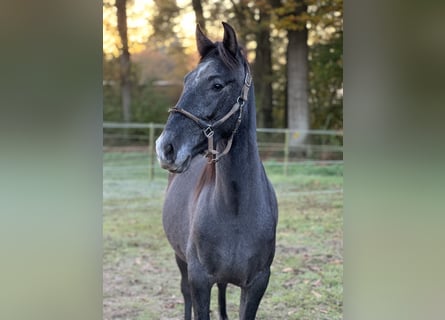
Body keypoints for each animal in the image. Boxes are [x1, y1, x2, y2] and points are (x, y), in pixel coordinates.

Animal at [154, 22, 276, 320]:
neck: (236, 210)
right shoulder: (199, 280)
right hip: (181, 261)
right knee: (185, 293)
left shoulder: (257, 283)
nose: (166, 147)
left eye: (217, 84)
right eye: (186, 80)